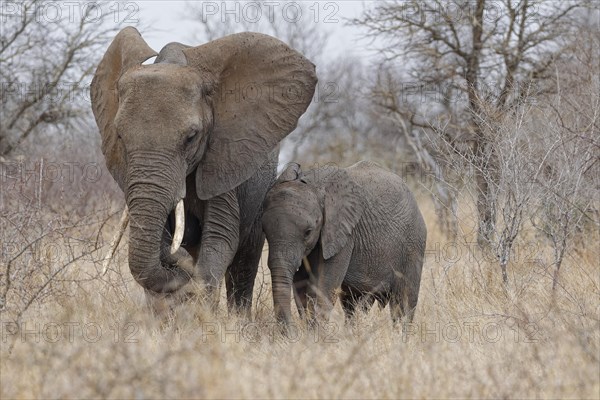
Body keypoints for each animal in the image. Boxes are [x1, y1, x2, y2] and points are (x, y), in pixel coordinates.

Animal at [91, 27, 316, 316]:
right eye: (120, 137)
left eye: (191, 137)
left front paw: (200, 315)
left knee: (244, 261)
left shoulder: (222, 156)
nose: (181, 266)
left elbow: (221, 236)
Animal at [262, 161, 426, 326]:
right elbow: (301, 287)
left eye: (308, 232)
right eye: (265, 232)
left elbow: (325, 286)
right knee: (353, 303)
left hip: (413, 244)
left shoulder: (344, 234)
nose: (291, 329)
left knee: (403, 303)